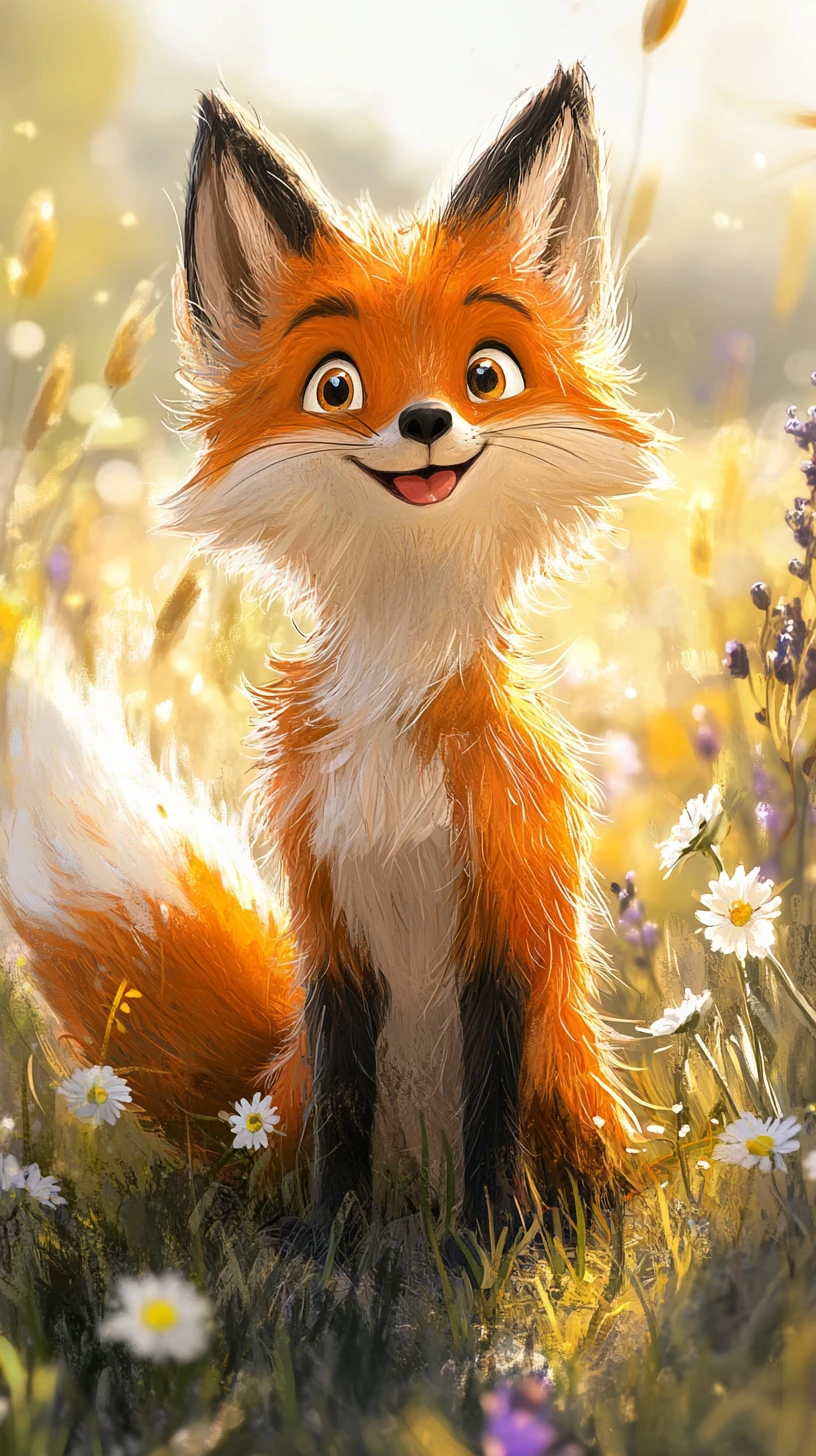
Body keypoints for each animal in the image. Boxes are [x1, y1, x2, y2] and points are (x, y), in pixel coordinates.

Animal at [1, 63, 659, 1236]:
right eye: (337, 385)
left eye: (487, 373)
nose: (428, 421)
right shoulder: (335, 932)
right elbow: (348, 1117)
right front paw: (332, 1244)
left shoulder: (503, 915)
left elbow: (491, 1116)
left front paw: (490, 1244)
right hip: (304, 1090)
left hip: (573, 1096)